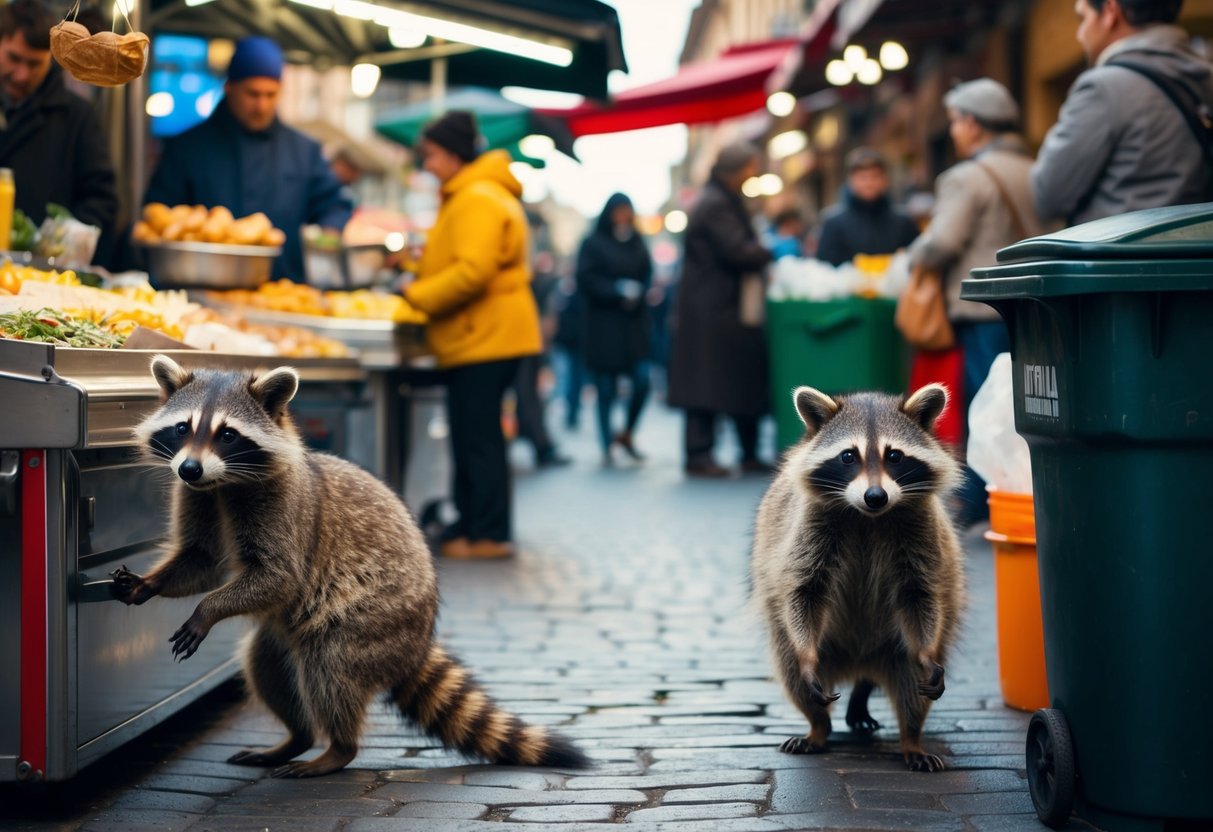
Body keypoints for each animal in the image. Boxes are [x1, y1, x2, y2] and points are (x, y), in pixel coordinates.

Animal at [113, 355, 588, 777]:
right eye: (183, 428)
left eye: (227, 434)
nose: (190, 468)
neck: (221, 482)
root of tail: (418, 642)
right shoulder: (197, 497)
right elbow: (202, 561)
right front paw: (150, 583)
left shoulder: (284, 510)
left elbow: (279, 578)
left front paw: (208, 609)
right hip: (284, 636)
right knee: (265, 667)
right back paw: (297, 738)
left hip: (369, 621)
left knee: (329, 671)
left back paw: (338, 748)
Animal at [750, 383, 964, 772]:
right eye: (848, 456)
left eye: (895, 456)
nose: (875, 496)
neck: (868, 517)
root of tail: (860, 661)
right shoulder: (807, 532)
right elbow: (803, 593)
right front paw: (807, 657)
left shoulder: (921, 535)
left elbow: (920, 596)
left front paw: (926, 653)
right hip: (797, 643)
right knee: (793, 675)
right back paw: (818, 727)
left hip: (895, 650)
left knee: (912, 687)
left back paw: (911, 738)